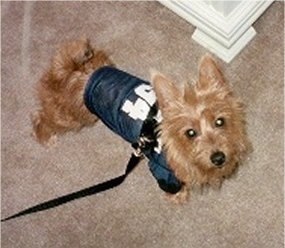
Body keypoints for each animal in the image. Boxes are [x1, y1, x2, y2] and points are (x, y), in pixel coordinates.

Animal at [33, 38, 250, 203]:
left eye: (220, 122)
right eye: (190, 133)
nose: (219, 158)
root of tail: (72, 71)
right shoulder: (162, 171)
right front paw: (178, 197)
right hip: (72, 117)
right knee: (41, 117)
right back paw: (45, 136)